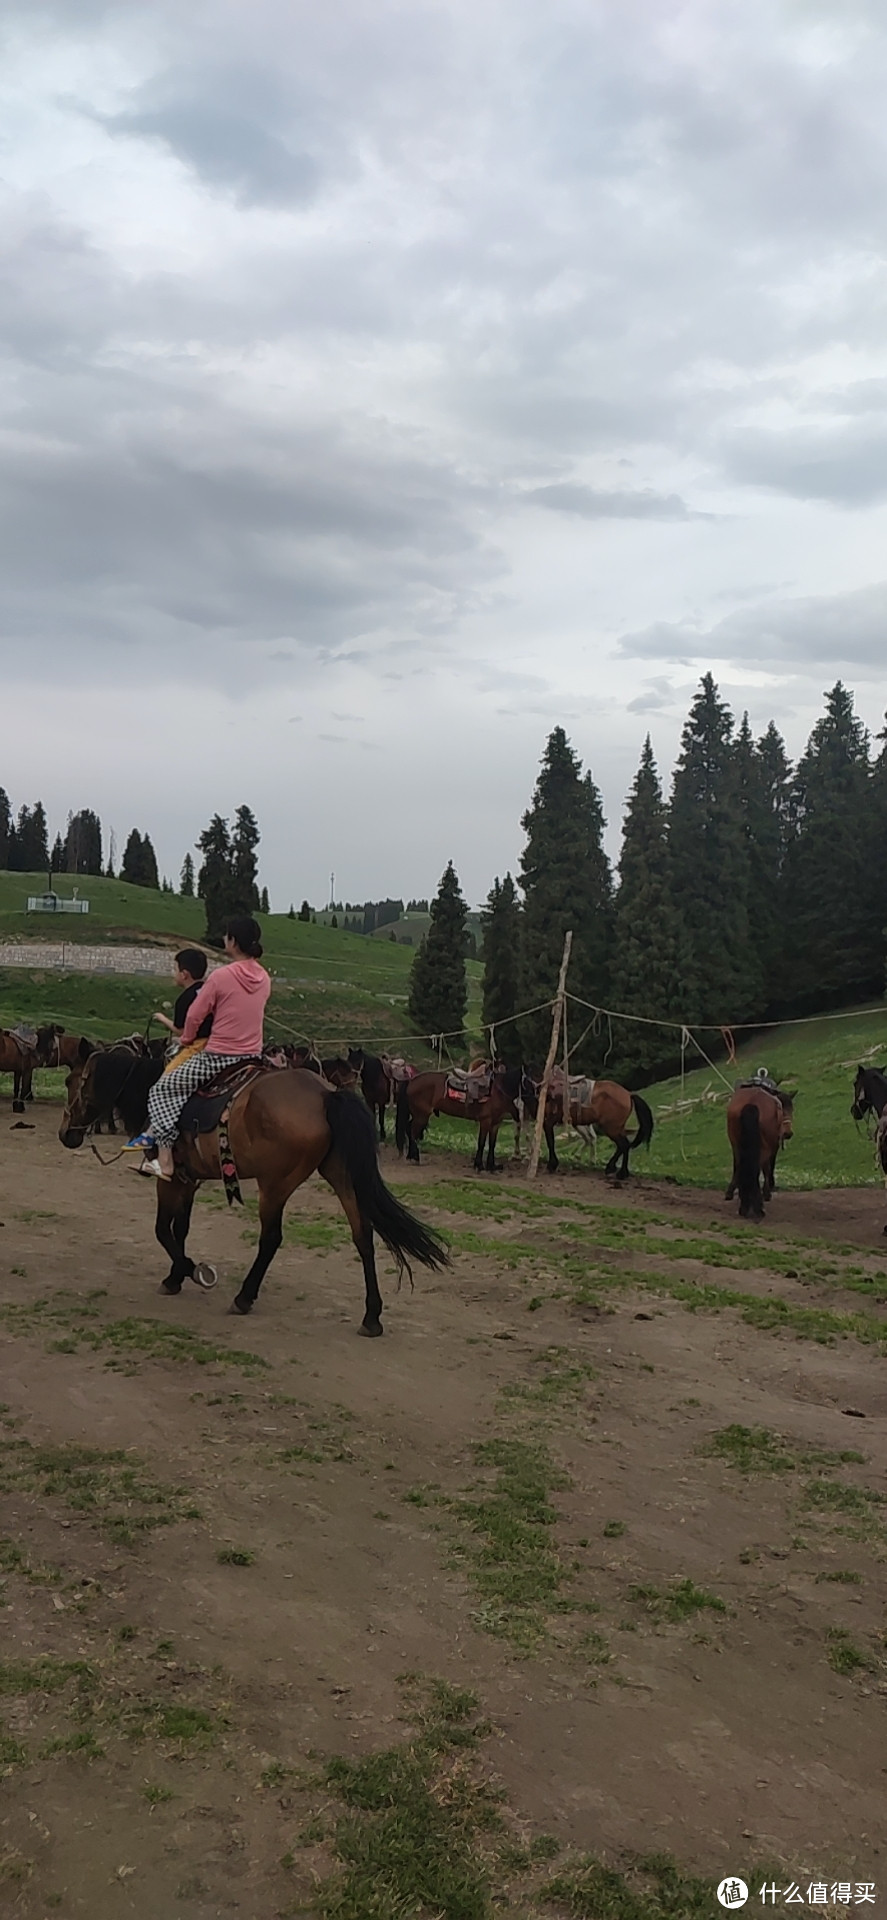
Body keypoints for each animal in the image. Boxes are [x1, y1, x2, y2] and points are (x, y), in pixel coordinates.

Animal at [58, 1052, 451, 1336]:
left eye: (71, 1081)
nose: (66, 1134)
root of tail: (326, 1094)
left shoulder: (169, 1179)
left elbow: (161, 1229)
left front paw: (189, 1271)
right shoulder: (189, 1180)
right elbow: (180, 1229)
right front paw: (176, 1275)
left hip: (275, 1184)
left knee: (271, 1238)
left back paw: (244, 1296)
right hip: (341, 1176)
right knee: (363, 1236)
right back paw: (371, 1316)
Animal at [397, 1067, 533, 1167]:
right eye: (528, 1082)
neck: (497, 1091)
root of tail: (411, 1080)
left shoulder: (496, 1123)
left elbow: (492, 1144)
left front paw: (491, 1166)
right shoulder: (485, 1121)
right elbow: (482, 1143)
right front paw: (479, 1165)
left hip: (418, 1115)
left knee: (409, 1129)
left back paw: (411, 1156)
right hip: (421, 1115)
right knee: (412, 1132)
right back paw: (415, 1157)